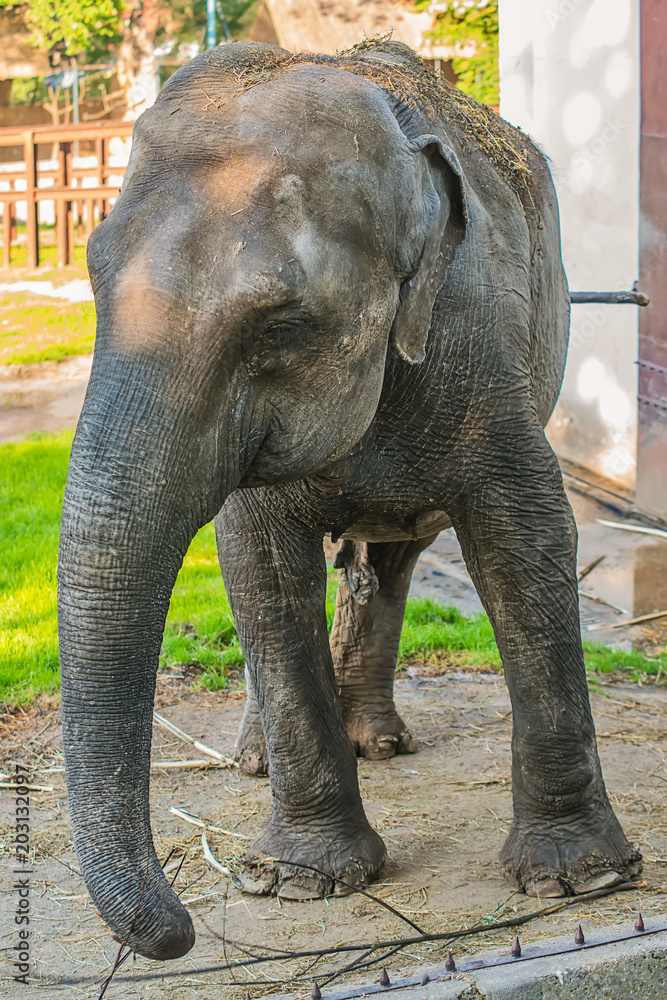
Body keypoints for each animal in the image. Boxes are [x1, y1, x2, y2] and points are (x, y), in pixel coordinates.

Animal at [58, 38, 640, 962]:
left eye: (279, 324)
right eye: (91, 281)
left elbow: (526, 542)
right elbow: (257, 567)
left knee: (395, 561)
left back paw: (379, 742)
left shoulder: (482, 349)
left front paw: (579, 879)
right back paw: (259, 761)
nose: (177, 931)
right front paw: (296, 881)